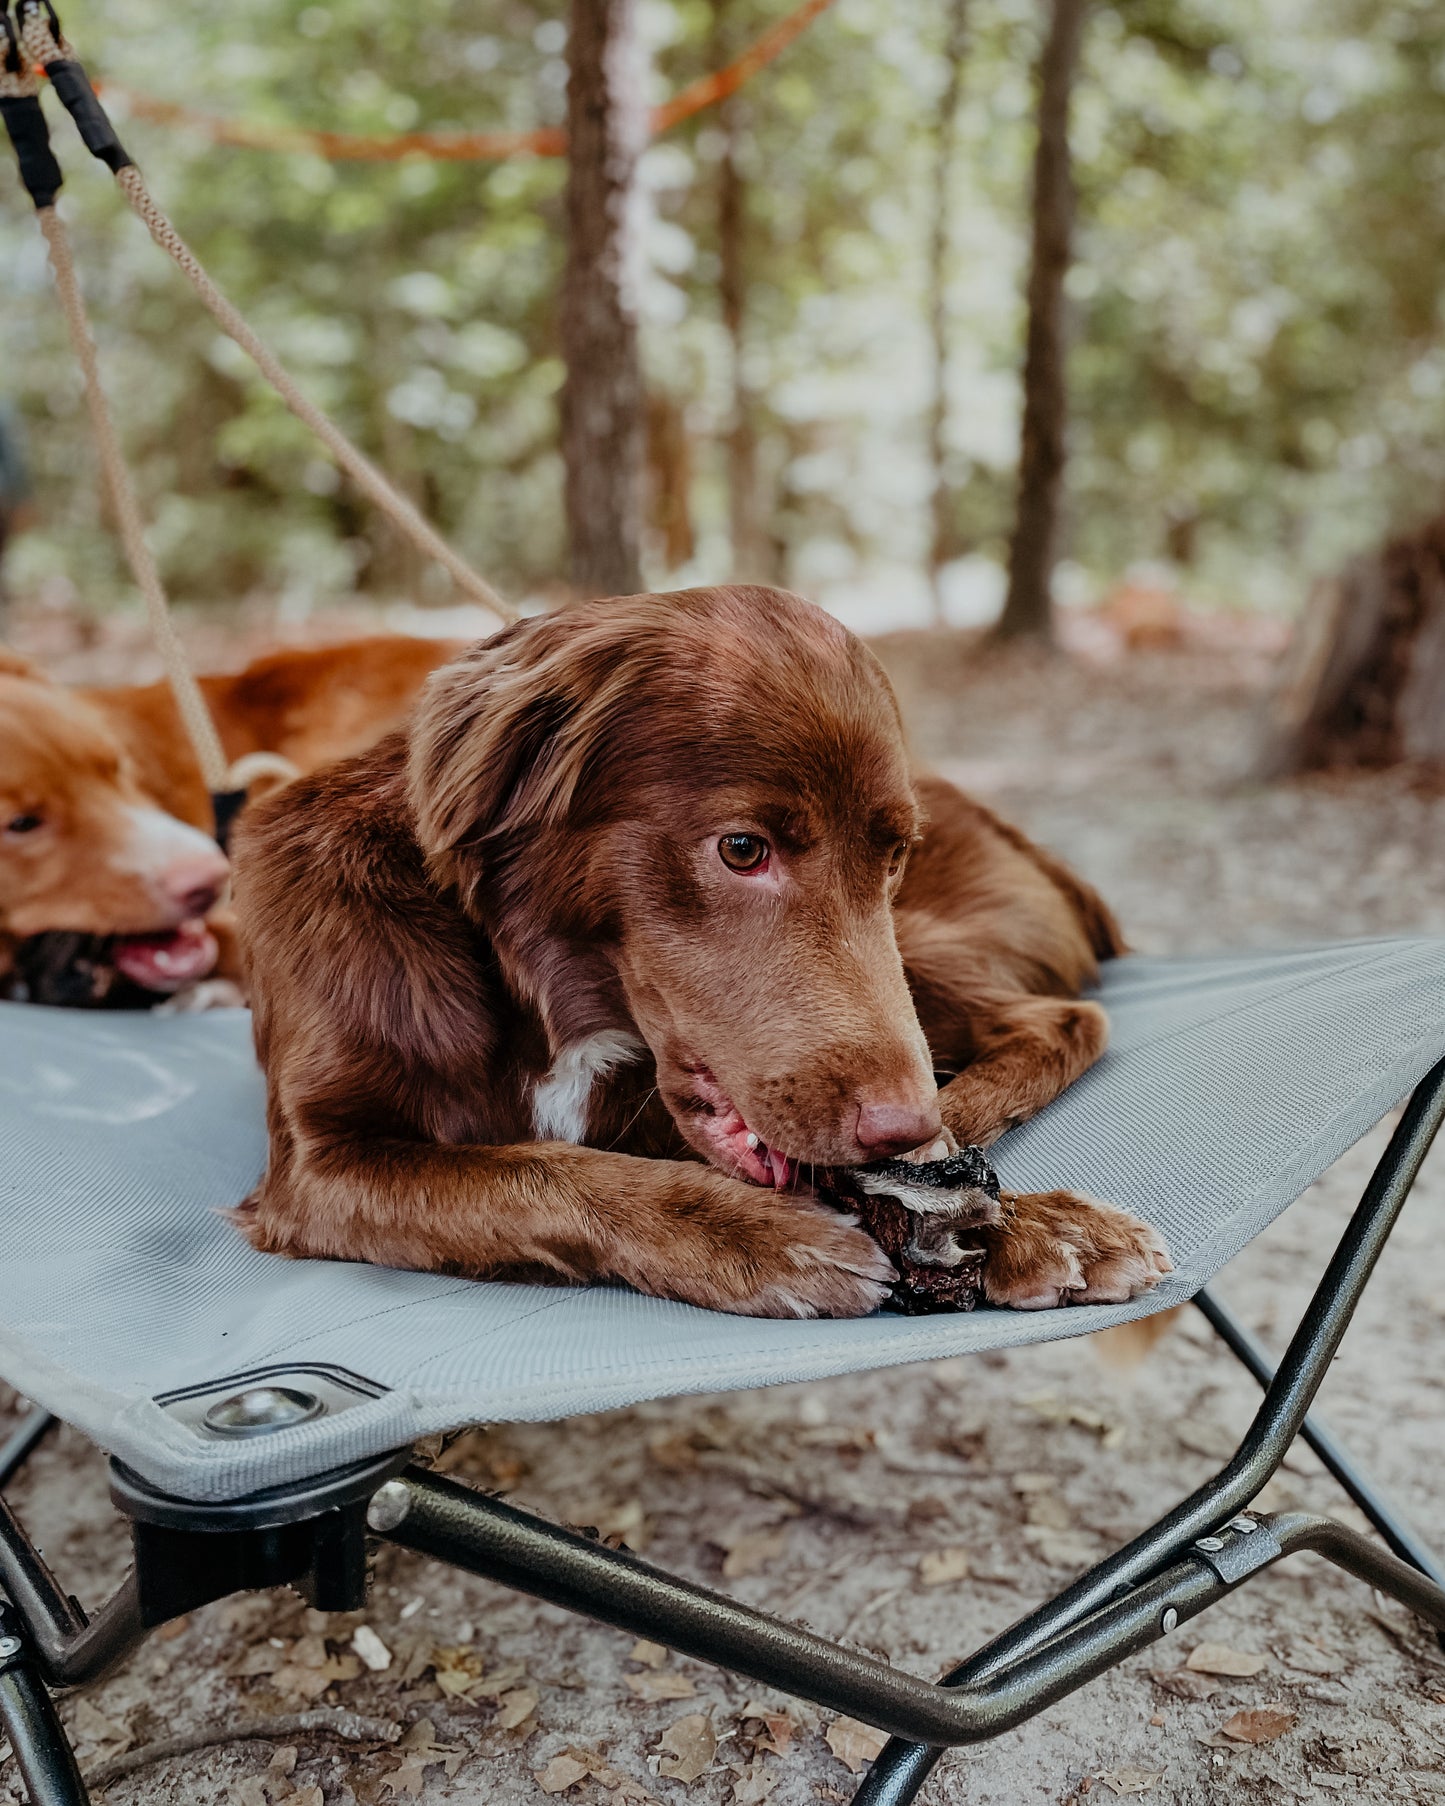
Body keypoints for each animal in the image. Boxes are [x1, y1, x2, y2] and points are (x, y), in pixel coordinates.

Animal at [231, 585, 1170, 1321]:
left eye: (893, 855)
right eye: (742, 850)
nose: (900, 1129)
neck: (546, 1006)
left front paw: (1025, 1222)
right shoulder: (322, 1167)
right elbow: (538, 1171)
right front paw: (759, 1238)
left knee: (1063, 1017)